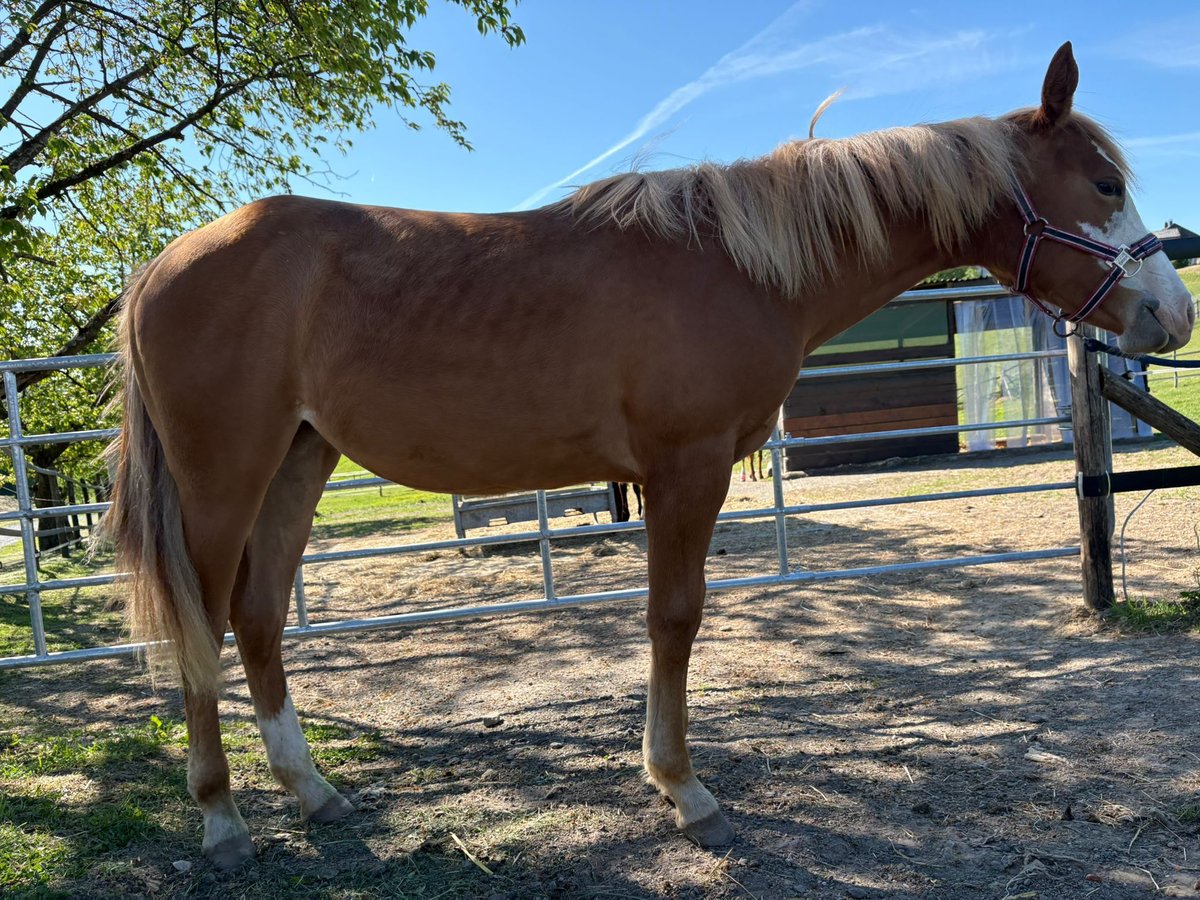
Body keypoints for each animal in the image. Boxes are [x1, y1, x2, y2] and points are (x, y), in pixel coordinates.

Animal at [102, 43, 1194, 867]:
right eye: (1104, 183)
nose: (1173, 316)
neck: (740, 266)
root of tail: (159, 266)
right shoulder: (686, 469)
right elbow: (675, 619)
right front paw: (682, 788)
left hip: (299, 462)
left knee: (256, 617)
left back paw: (313, 790)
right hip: (221, 480)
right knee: (204, 622)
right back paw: (221, 819)